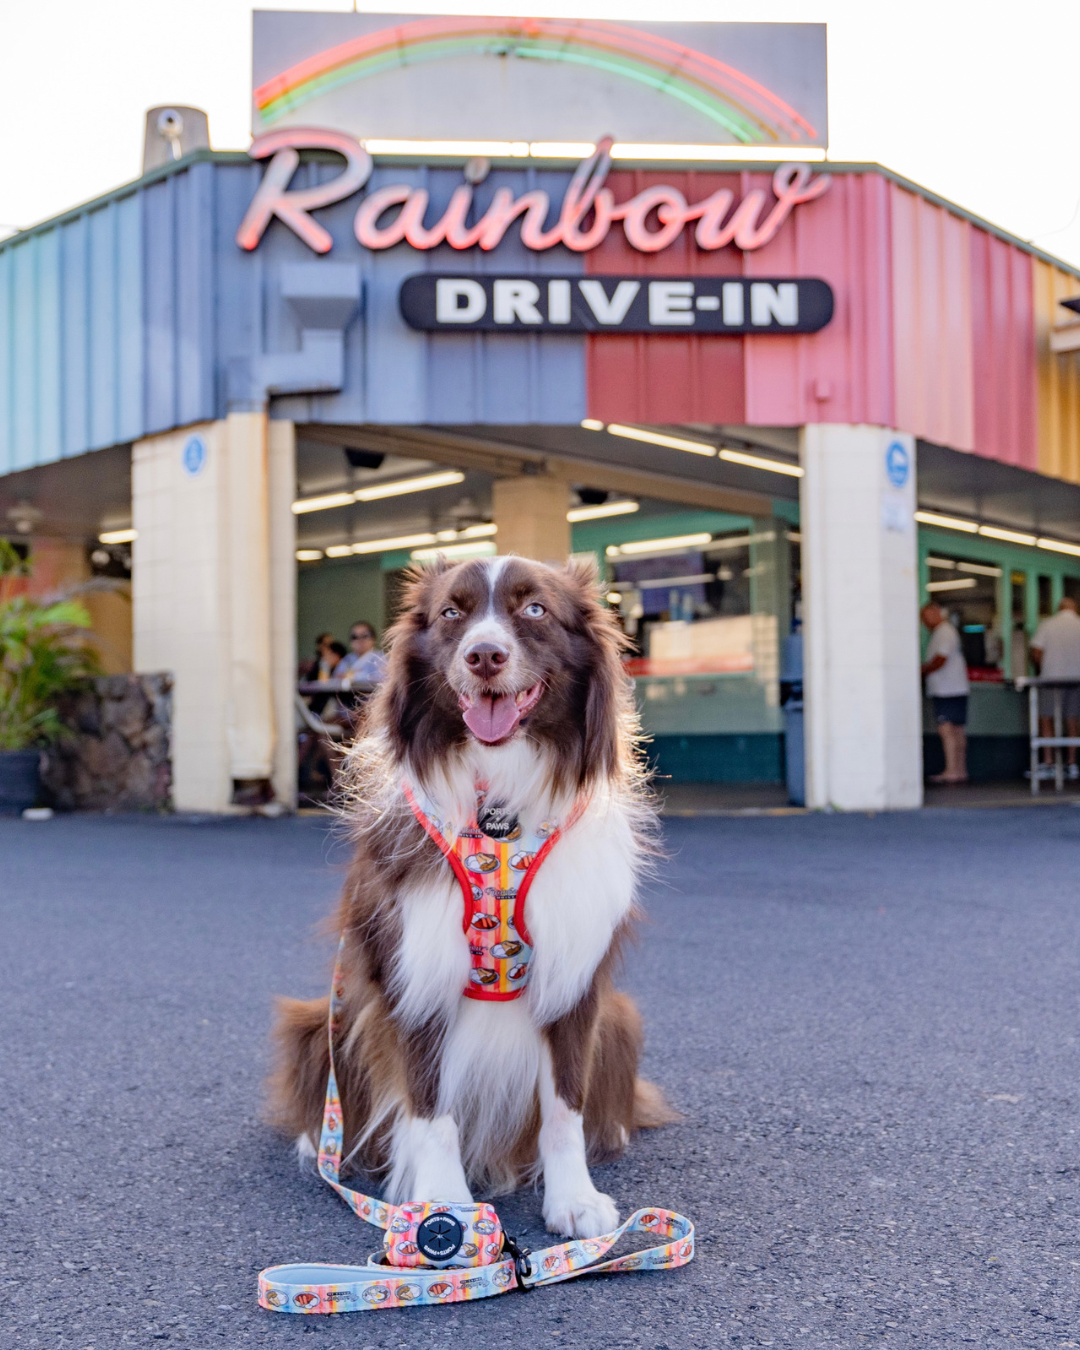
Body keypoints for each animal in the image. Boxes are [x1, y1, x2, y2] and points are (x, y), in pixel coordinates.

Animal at [272, 553, 666, 1236]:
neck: (498, 806)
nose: (484, 655)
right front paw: (443, 1204)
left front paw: (574, 1199)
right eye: (452, 613)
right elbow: (429, 1105)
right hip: (325, 1016)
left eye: (534, 609)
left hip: (620, 1019)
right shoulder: (417, 966)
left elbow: (565, 1104)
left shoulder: (574, 975)